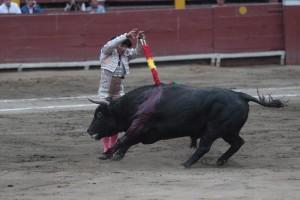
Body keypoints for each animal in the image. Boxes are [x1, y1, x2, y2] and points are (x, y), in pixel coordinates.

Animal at [86, 83, 284, 168]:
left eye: (100, 114)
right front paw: (118, 155)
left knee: (204, 146)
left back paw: (186, 164)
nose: (88, 130)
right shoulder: (145, 131)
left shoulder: (140, 125)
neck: (137, 102)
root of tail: (241, 95)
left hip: (214, 129)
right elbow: (128, 140)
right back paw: (220, 161)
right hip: (228, 131)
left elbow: (124, 139)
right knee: (238, 143)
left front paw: (106, 155)